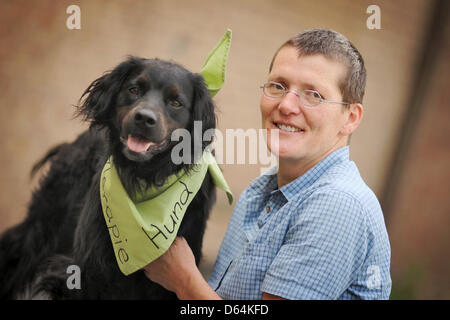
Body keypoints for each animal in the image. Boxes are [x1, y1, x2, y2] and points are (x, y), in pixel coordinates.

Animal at [0, 56, 218, 298]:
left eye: (176, 102)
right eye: (134, 89)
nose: (144, 118)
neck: (144, 178)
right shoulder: (86, 272)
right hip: (42, 228)